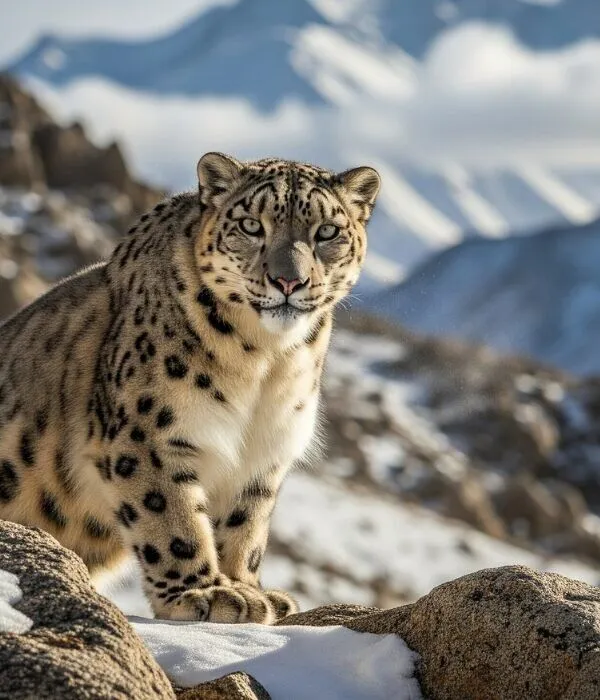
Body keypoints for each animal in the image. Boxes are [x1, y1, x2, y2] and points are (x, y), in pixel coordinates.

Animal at [0, 152, 380, 623]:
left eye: (327, 231)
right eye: (251, 226)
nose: (289, 282)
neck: (267, 360)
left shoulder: (264, 452)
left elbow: (245, 526)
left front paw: (247, 588)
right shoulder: (148, 435)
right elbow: (172, 517)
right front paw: (204, 593)